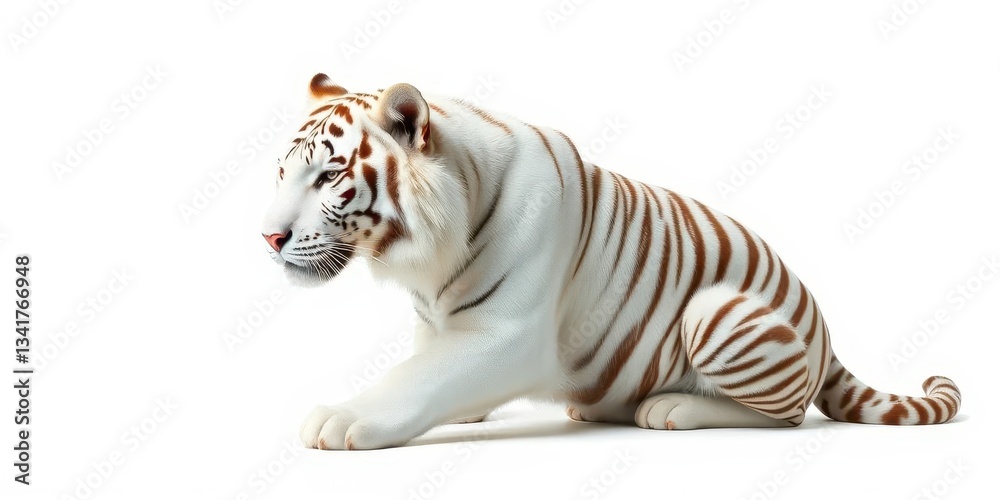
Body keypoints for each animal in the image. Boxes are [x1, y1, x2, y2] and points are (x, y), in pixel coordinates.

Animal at [261, 73, 962, 450]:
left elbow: (414, 379)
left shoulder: (507, 338)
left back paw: (671, 408)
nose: (267, 237)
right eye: (283, 173)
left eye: (328, 177)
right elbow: (430, 370)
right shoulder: (438, 326)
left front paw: (342, 417)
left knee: (788, 415)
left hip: (717, 312)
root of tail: (823, 326)